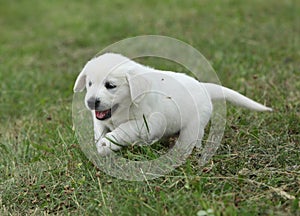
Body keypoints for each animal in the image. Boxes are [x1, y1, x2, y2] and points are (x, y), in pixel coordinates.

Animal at [73, 53, 272, 156]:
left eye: (110, 85)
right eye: (89, 83)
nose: (91, 102)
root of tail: (204, 87)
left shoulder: (148, 123)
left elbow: (125, 130)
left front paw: (107, 143)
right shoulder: (100, 120)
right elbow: (99, 130)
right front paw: (101, 145)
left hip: (194, 126)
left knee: (193, 139)